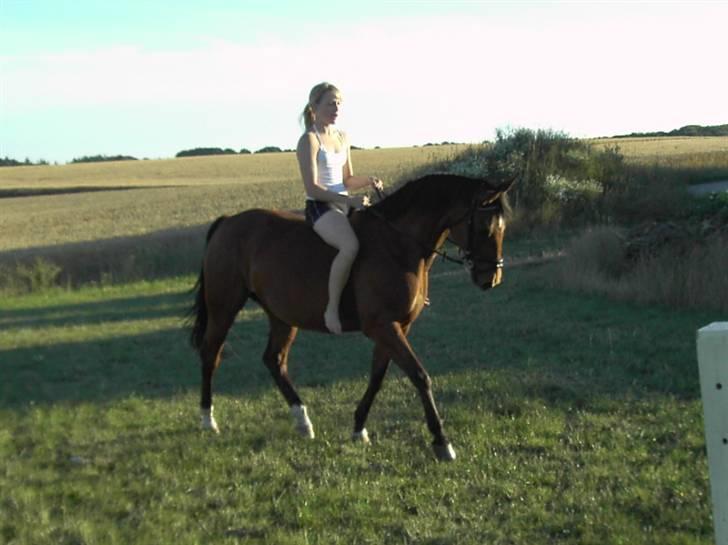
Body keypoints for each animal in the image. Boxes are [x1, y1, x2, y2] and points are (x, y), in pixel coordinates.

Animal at [191, 171, 516, 460]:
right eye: (486, 228)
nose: (491, 278)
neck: (399, 245)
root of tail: (228, 222)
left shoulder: (398, 327)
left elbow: (377, 377)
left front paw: (359, 428)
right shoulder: (383, 327)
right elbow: (420, 376)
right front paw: (441, 442)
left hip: (282, 316)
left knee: (274, 360)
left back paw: (302, 422)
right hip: (224, 307)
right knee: (211, 353)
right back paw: (208, 420)